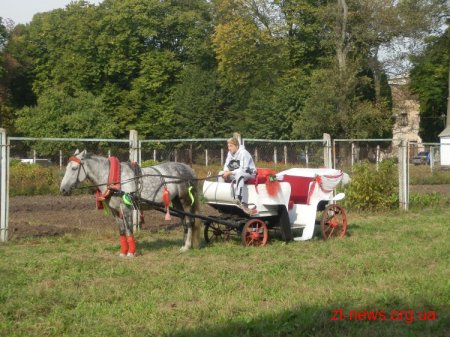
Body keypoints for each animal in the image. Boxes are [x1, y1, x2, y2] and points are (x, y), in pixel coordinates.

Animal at [59, 150, 200, 255]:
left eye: (74, 168)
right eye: (66, 167)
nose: (63, 189)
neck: (116, 179)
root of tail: (189, 169)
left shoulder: (126, 208)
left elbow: (129, 230)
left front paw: (131, 252)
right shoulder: (115, 210)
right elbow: (121, 230)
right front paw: (123, 252)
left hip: (186, 201)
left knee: (190, 221)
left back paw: (187, 246)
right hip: (176, 201)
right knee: (184, 221)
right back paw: (183, 245)